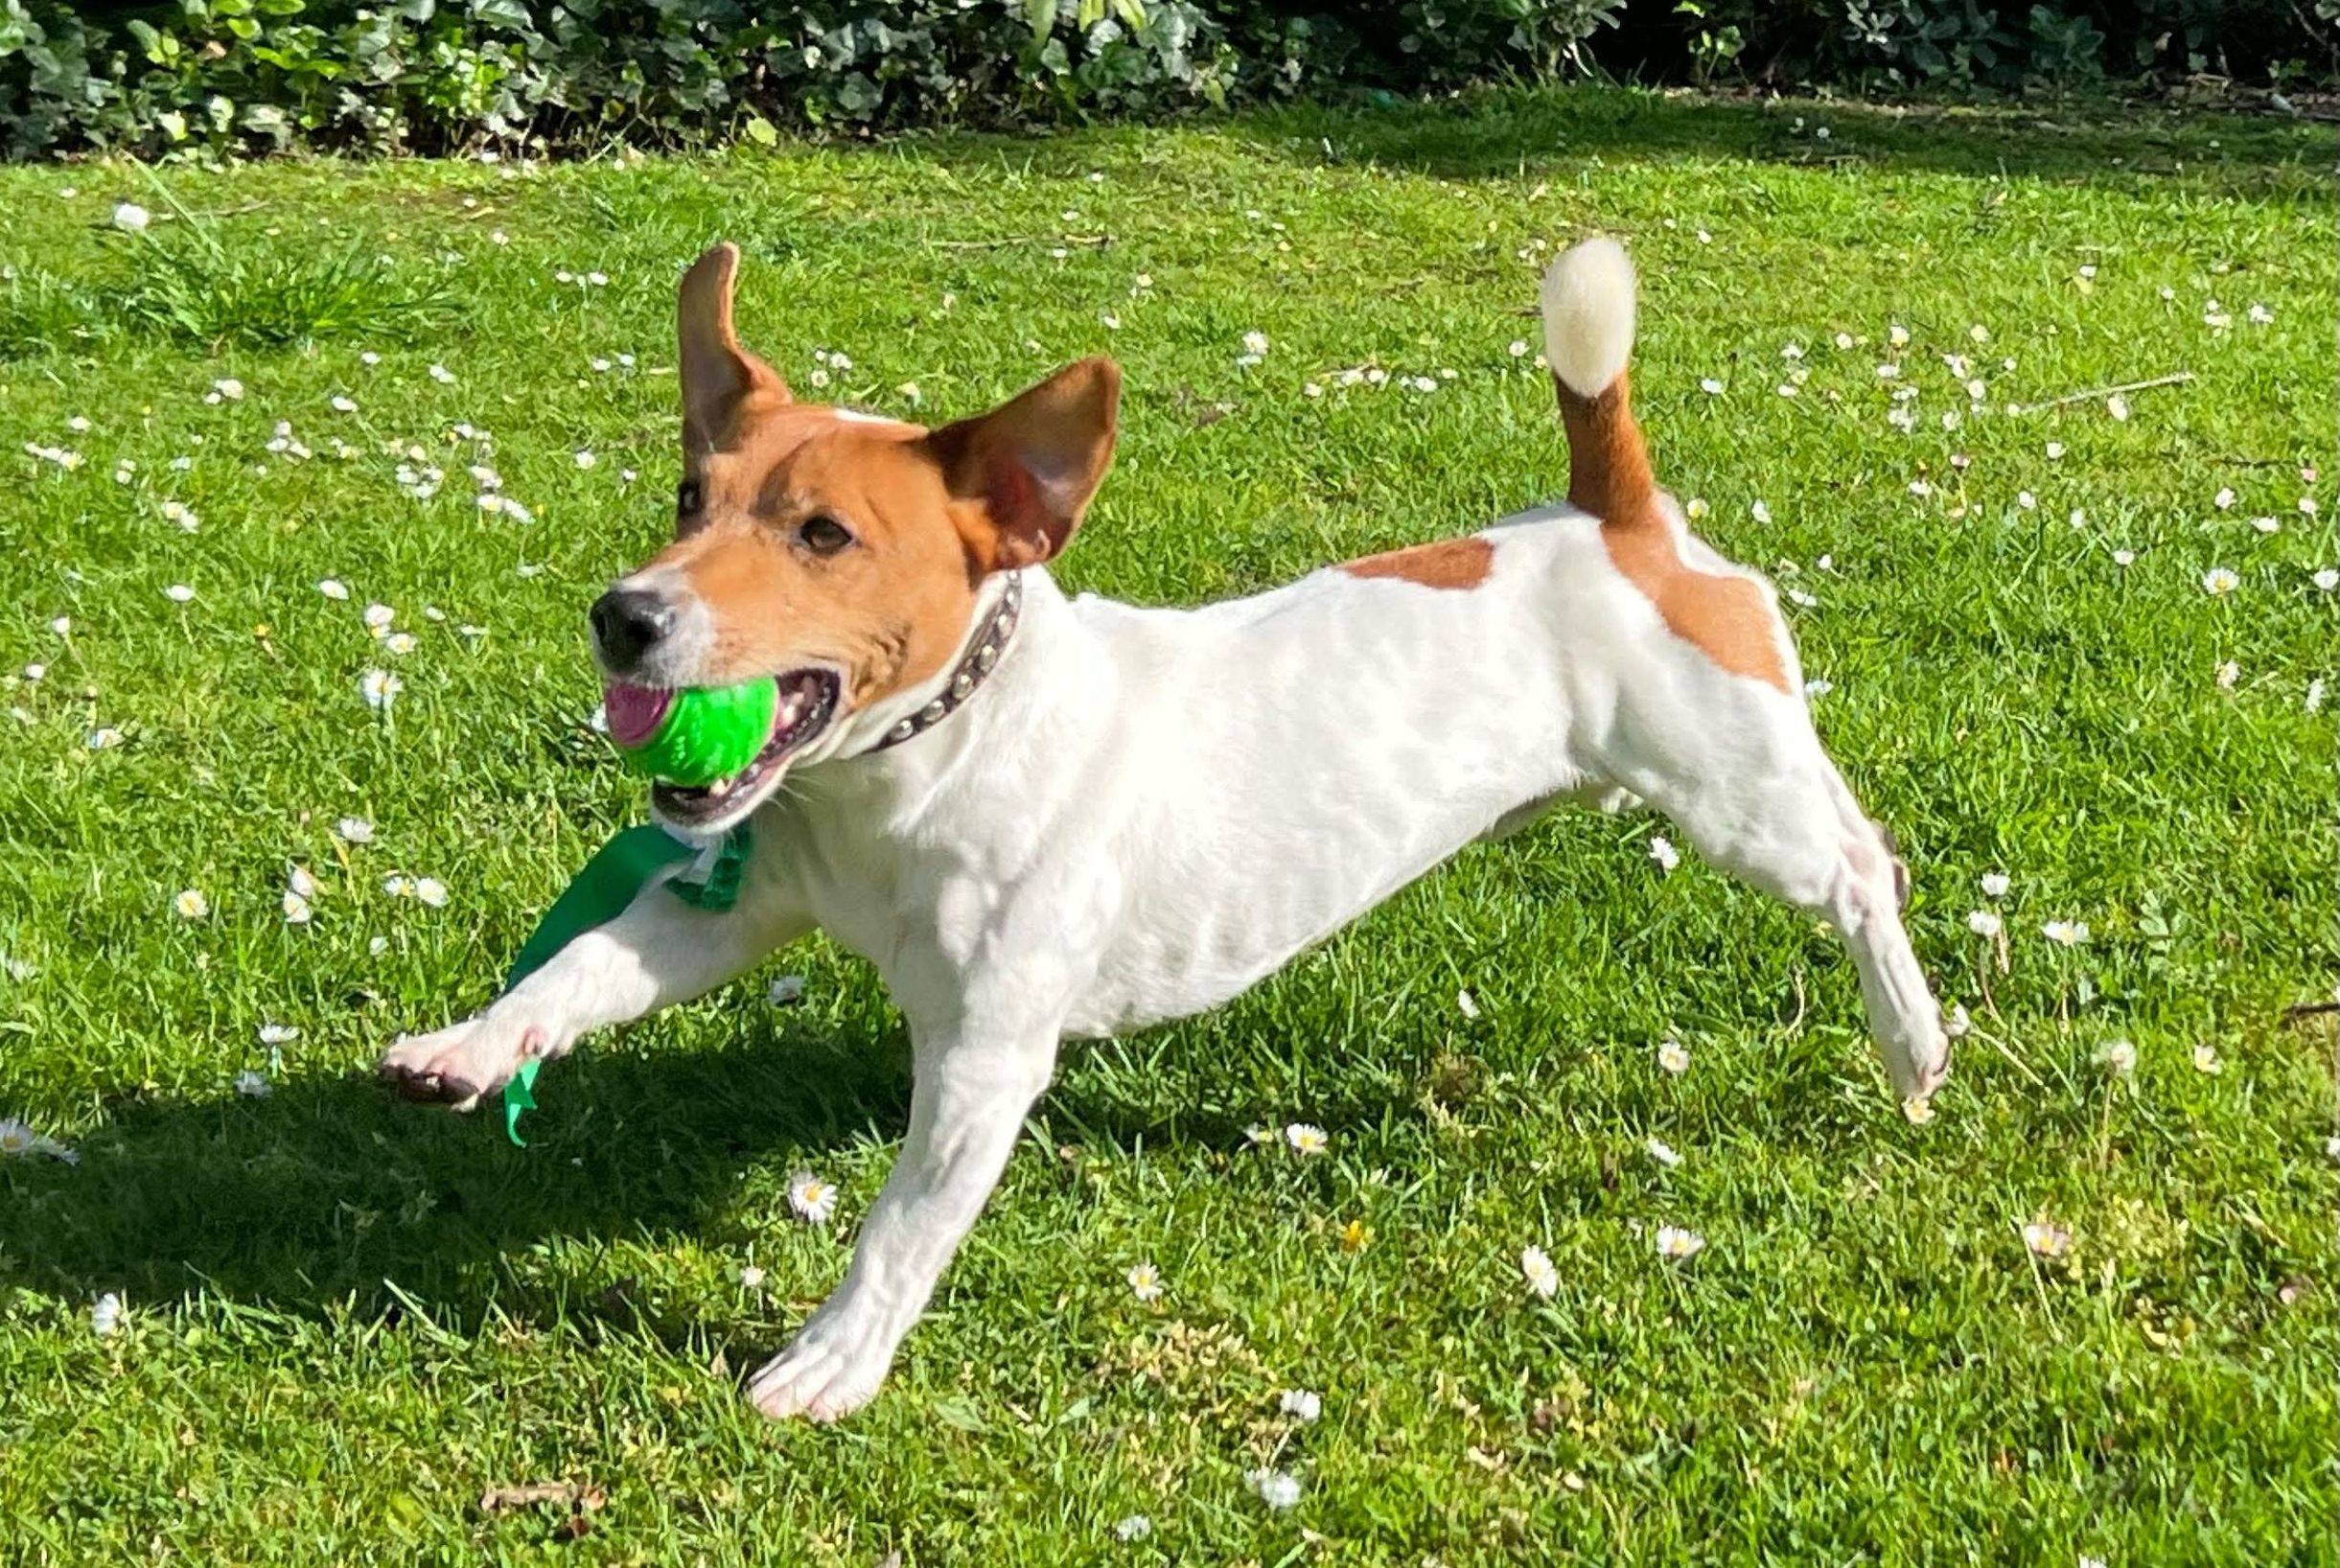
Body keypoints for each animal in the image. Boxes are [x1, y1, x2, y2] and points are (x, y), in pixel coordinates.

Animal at [383, 234, 1956, 1422]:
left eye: (822, 535)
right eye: (686, 497)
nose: (623, 613)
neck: (916, 776)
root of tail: (1610, 516)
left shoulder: (984, 1060)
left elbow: (902, 1226)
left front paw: (832, 1361)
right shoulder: (732, 906)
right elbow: (583, 968)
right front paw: (470, 1045)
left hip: (1742, 797)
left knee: (1862, 866)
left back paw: (1911, 1036)